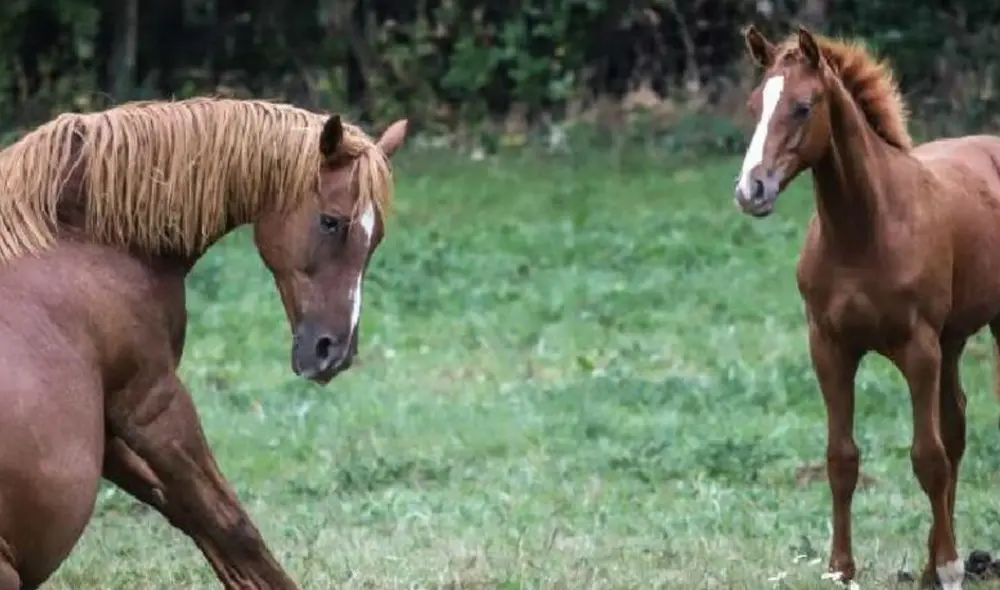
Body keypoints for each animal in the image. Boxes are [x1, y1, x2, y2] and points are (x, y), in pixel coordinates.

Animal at [0, 97, 408, 589]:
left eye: (376, 237)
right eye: (331, 222)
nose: (335, 353)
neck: (75, 237)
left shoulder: (113, 429)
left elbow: (192, 514)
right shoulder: (152, 405)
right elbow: (232, 525)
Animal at [734, 25, 1000, 590]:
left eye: (803, 107)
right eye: (754, 105)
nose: (751, 190)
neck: (864, 231)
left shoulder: (918, 348)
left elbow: (927, 457)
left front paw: (951, 566)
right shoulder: (829, 347)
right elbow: (842, 458)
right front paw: (841, 567)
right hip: (952, 340)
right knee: (956, 428)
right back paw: (930, 565)